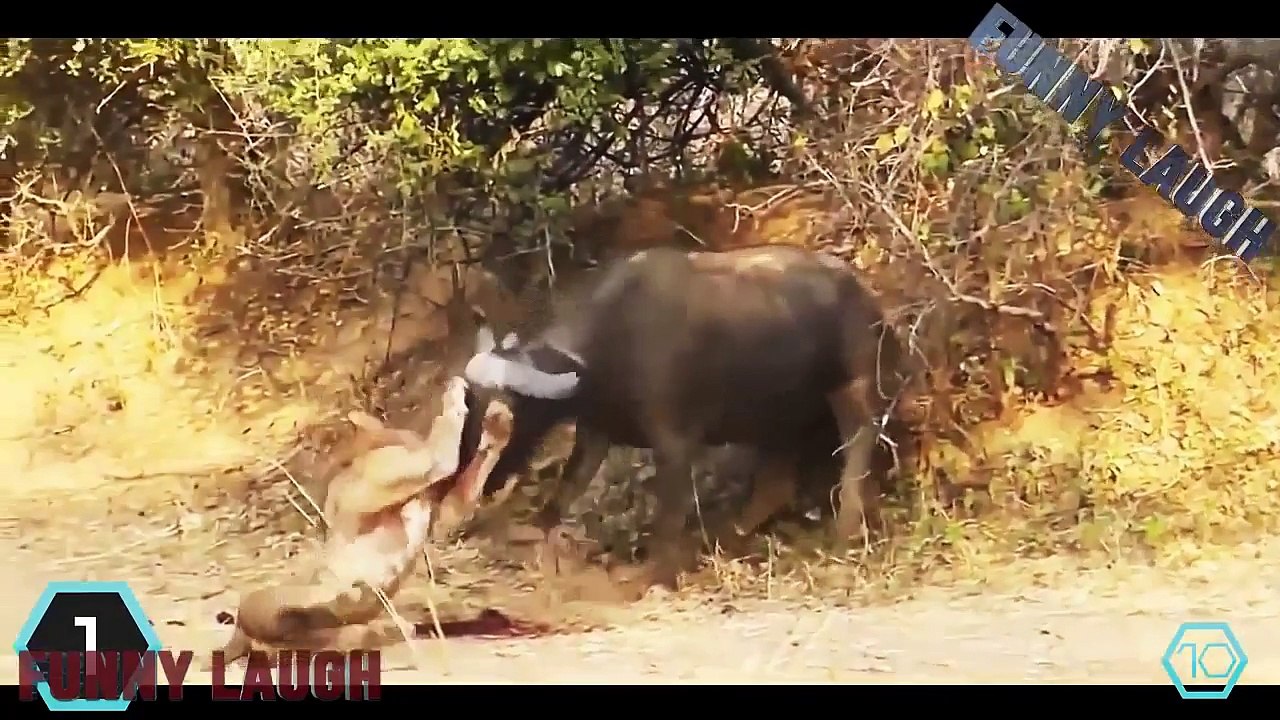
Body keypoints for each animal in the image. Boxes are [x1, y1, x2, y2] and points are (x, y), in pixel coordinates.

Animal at [463, 245, 909, 588]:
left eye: (505, 418)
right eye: (472, 403)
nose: (481, 482)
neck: (614, 341)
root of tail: (868, 299)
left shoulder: (675, 443)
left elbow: (668, 515)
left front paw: (653, 577)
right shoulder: (596, 431)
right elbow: (566, 490)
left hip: (852, 388)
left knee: (858, 447)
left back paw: (846, 532)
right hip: (776, 416)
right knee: (776, 484)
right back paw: (725, 541)